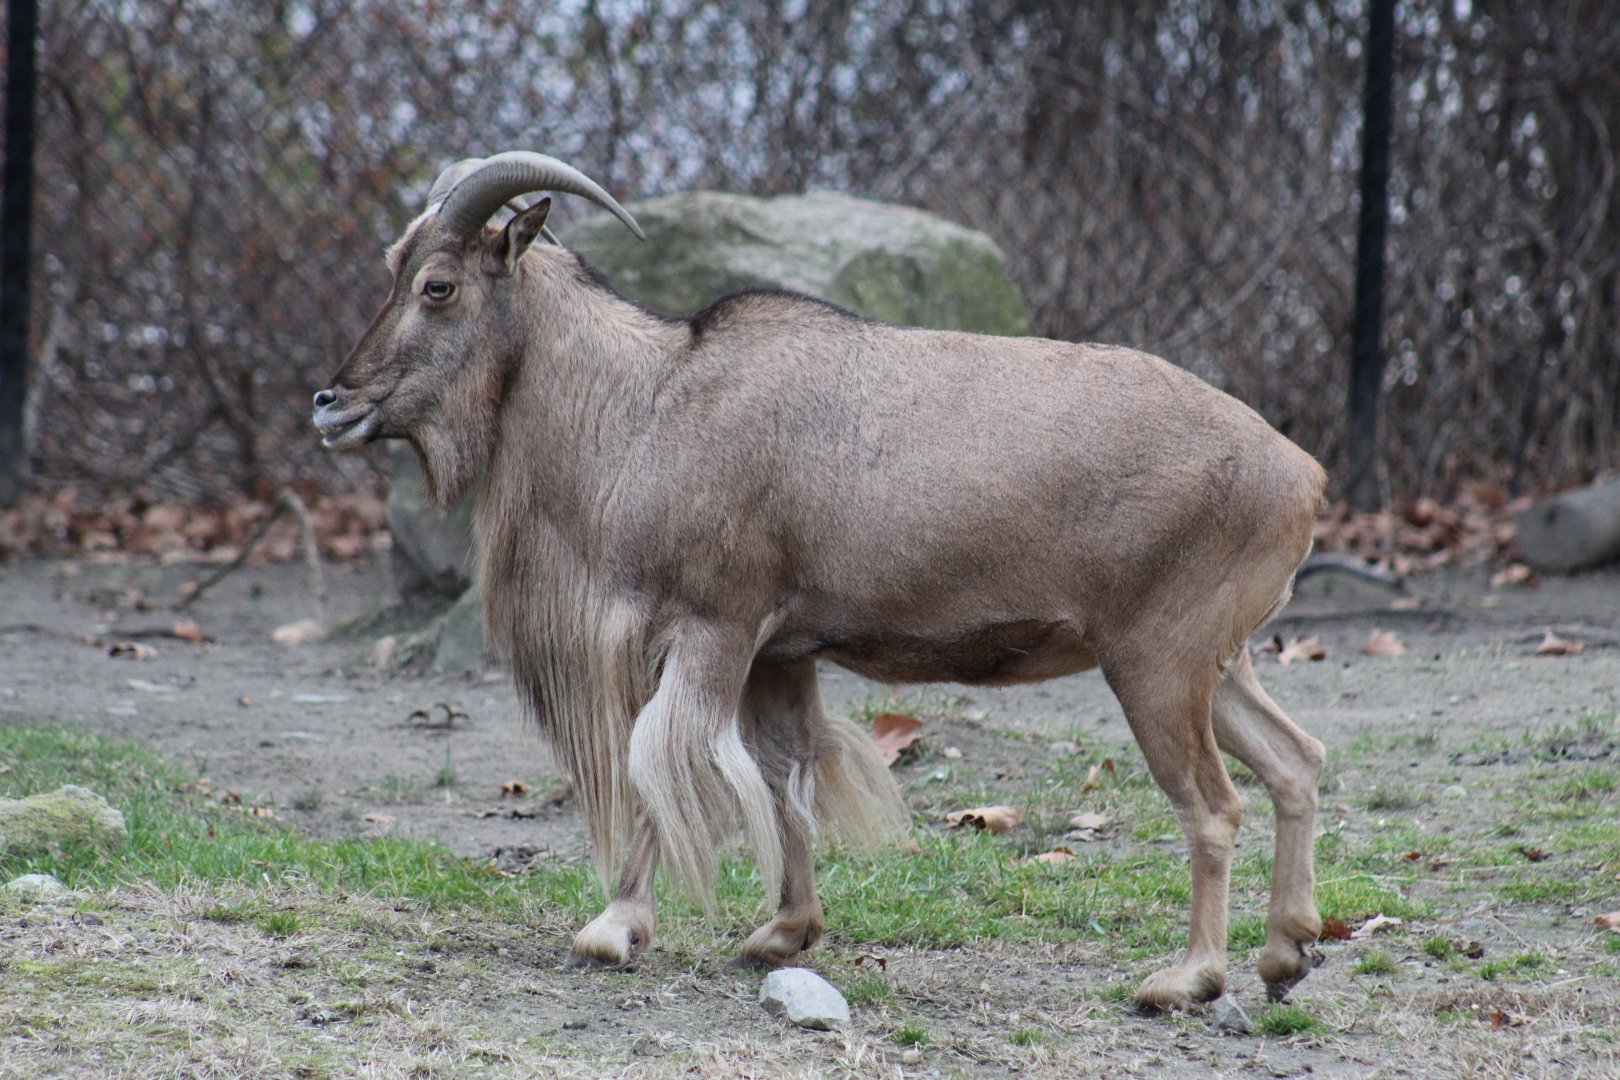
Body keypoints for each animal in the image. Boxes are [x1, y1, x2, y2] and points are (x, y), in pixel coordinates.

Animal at [313, 151, 1329, 1009]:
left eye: (439, 286)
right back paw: (1285, 951)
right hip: (1219, 665)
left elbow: (662, 760)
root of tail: (1299, 474)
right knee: (1296, 762)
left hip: (1157, 664)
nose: (333, 403)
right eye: (398, 267)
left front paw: (614, 927)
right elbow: (785, 770)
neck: (652, 405)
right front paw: (784, 933)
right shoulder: (780, 652)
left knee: (1213, 806)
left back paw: (1189, 977)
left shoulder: (713, 628)